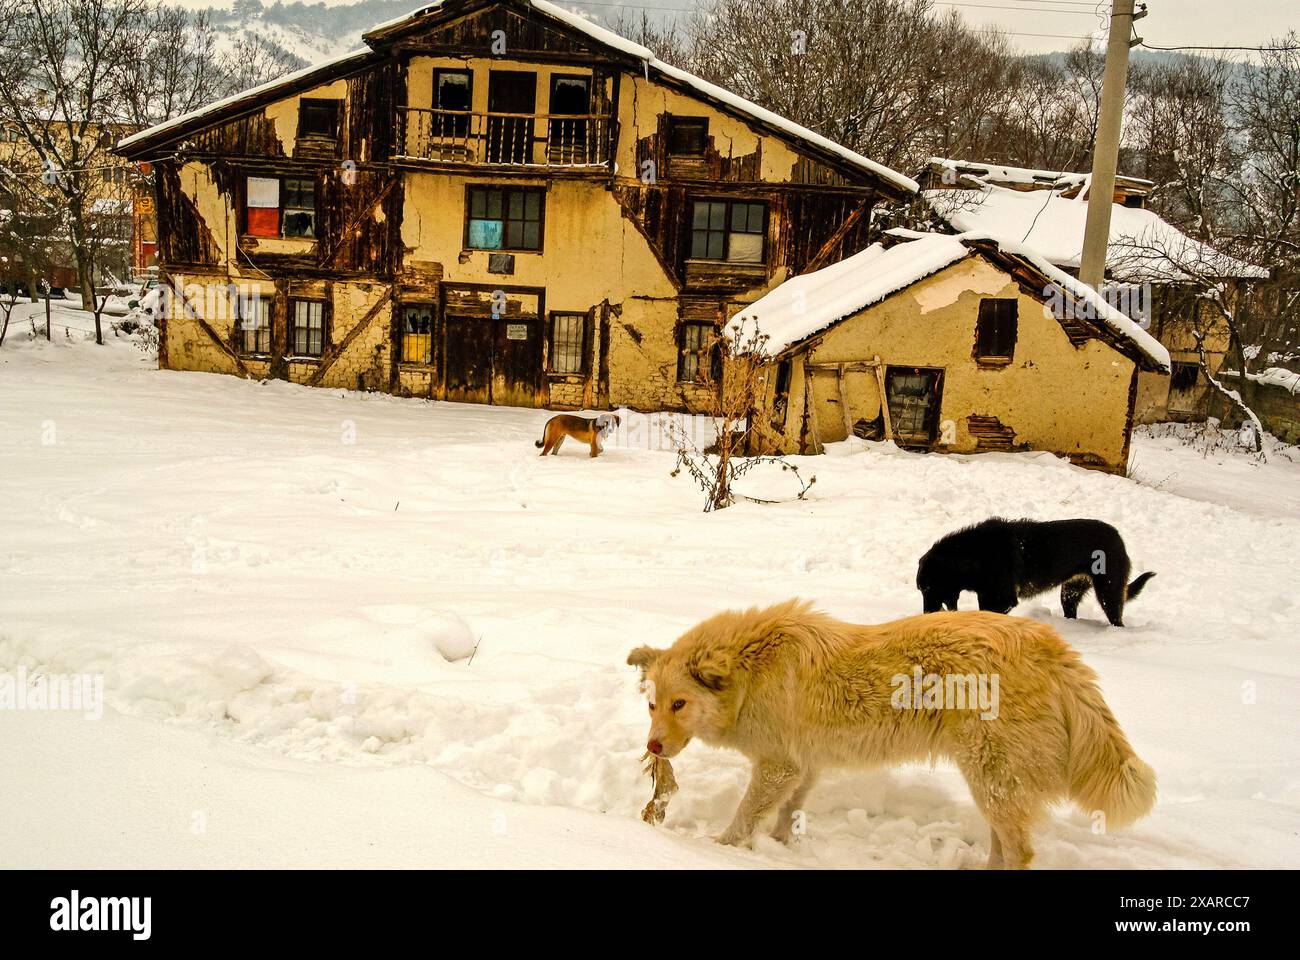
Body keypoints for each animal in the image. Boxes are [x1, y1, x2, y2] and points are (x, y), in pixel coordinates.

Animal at [629, 598, 1159, 868]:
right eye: (653, 705)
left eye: (680, 704)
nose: (653, 746)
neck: (749, 670)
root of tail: (1049, 646)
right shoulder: (802, 765)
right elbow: (788, 811)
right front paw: (782, 846)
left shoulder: (777, 765)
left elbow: (744, 817)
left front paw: (718, 848)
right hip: (993, 783)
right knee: (1004, 844)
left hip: (989, 776)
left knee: (1022, 851)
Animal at [920, 515, 1154, 629]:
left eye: (928, 588)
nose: (925, 615)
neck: (974, 554)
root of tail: (1118, 537)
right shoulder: (988, 595)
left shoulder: (1003, 598)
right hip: (1070, 592)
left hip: (1108, 591)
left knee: (1117, 618)